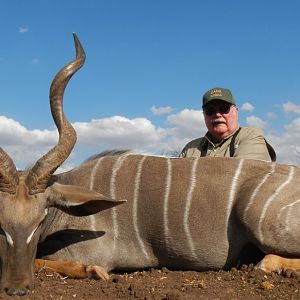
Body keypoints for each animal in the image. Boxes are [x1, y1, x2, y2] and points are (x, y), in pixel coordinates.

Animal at [0, 33, 300, 296]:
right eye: (1, 221)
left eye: (40, 220)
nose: (16, 288)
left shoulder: (90, 250)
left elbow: (47, 260)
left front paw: (93, 272)